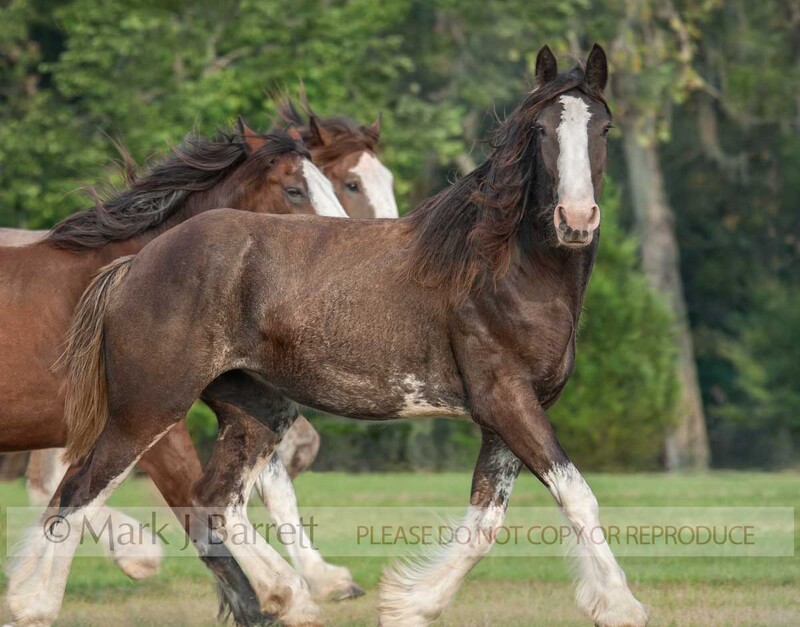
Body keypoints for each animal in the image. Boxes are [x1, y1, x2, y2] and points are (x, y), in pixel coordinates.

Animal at [8, 44, 649, 627]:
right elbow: (576, 494)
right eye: (542, 129)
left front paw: (409, 604)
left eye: (603, 126)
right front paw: (621, 606)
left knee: (213, 498)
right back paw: (32, 604)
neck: (502, 268)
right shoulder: (505, 401)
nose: (576, 220)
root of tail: (135, 263)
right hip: (149, 408)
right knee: (79, 489)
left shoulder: (507, 414)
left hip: (256, 409)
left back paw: (283, 597)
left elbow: (485, 521)